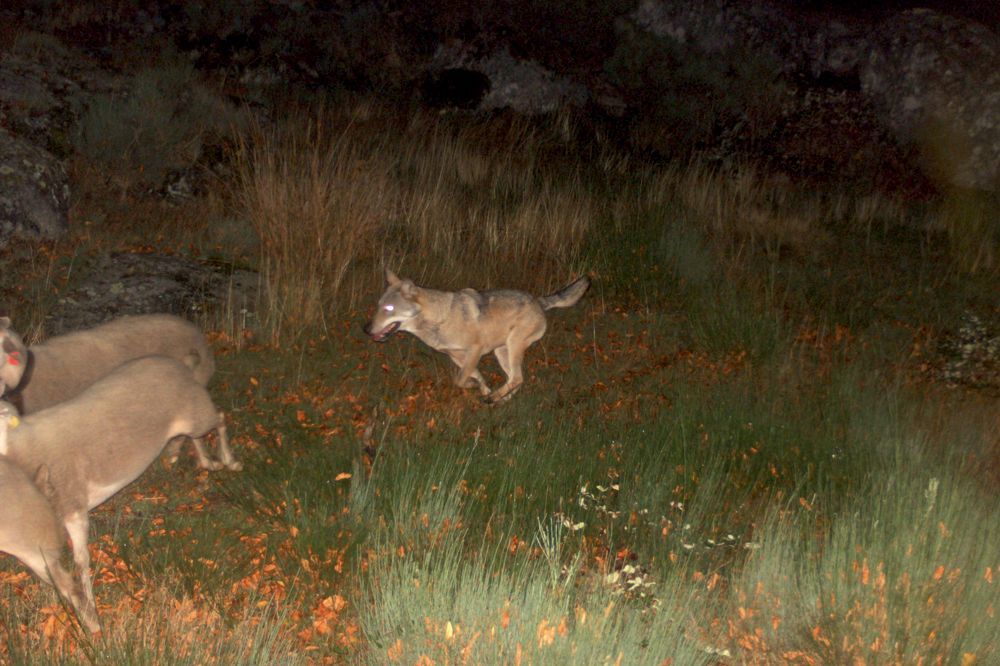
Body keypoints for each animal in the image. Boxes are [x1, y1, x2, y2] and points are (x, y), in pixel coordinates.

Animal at [366, 268, 584, 402]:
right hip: (501, 352)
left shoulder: (475, 350)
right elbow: (474, 374)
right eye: (379, 306)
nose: (365, 329)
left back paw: (493, 399)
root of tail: (538, 301)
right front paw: (482, 387)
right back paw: (499, 400)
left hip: (512, 346)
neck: (441, 318)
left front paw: (476, 388)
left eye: (389, 308)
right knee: (516, 379)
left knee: (517, 379)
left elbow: (461, 379)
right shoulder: (456, 355)